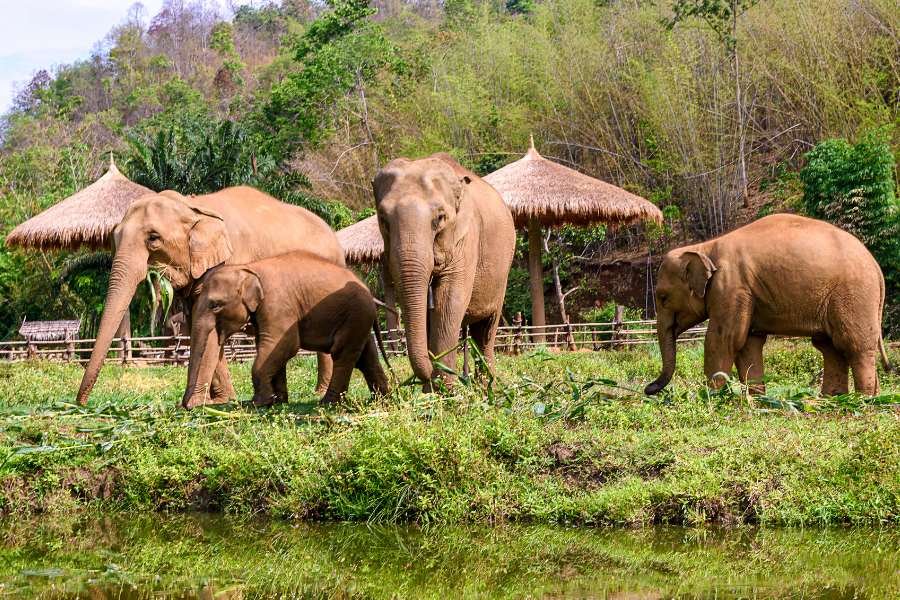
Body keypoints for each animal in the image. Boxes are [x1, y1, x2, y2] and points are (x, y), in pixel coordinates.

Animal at [76, 186, 344, 407]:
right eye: (113, 238)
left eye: (153, 238)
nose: (81, 403)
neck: (193, 206)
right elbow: (200, 324)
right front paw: (222, 401)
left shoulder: (230, 262)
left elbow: (210, 325)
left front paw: (207, 403)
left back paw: (318, 393)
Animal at [184, 251, 390, 407]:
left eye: (215, 305)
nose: (186, 406)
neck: (250, 267)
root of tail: (370, 293)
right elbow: (271, 347)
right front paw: (278, 401)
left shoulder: (277, 302)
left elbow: (286, 344)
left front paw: (258, 403)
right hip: (359, 318)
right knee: (365, 357)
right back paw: (381, 400)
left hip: (355, 314)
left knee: (343, 355)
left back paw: (328, 403)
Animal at [373, 153, 516, 387]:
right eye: (383, 220)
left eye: (439, 218)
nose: (430, 374)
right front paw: (433, 389)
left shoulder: (466, 237)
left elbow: (449, 300)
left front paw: (446, 389)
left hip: (503, 269)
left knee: (485, 330)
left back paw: (487, 386)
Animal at [644, 213, 892, 396]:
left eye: (663, 297)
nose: (649, 389)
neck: (705, 247)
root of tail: (875, 266)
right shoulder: (744, 292)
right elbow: (748, 343)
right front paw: (756, 399)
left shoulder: (731, 287)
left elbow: (723, 339)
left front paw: (710, 398)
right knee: (829, 346)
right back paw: (833, 399)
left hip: (854, 295)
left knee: (854, 345)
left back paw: (863, 400)